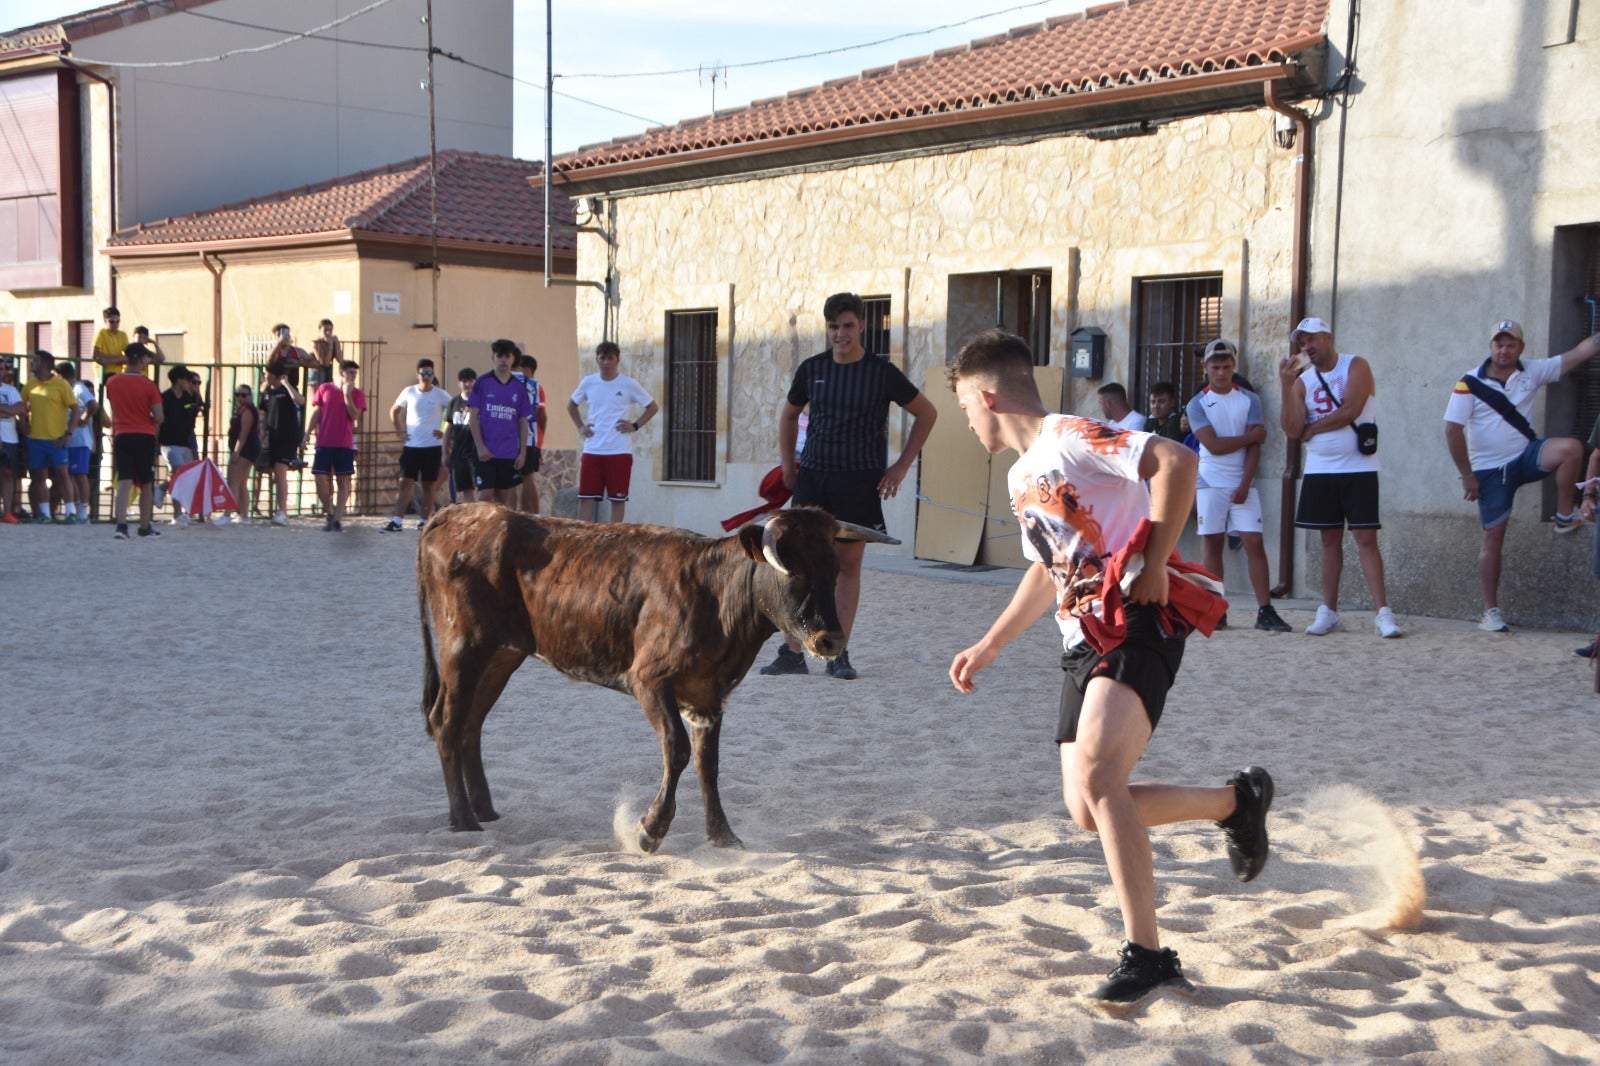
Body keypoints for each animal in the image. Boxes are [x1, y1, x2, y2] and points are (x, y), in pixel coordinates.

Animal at [419, 505, 896, 845]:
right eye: (793, 571)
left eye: (834, 570)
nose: (829, 640)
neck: (715, 594)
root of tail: (456, 514)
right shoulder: (648, 682)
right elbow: (678, 750)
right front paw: (649, 829)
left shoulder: (709, 695)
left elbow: (708, 765)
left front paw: (723, 836)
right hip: (464, 646)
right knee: (446, 720)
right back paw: (463, 820)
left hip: (502, 653)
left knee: (471, 724)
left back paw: (484, 810)